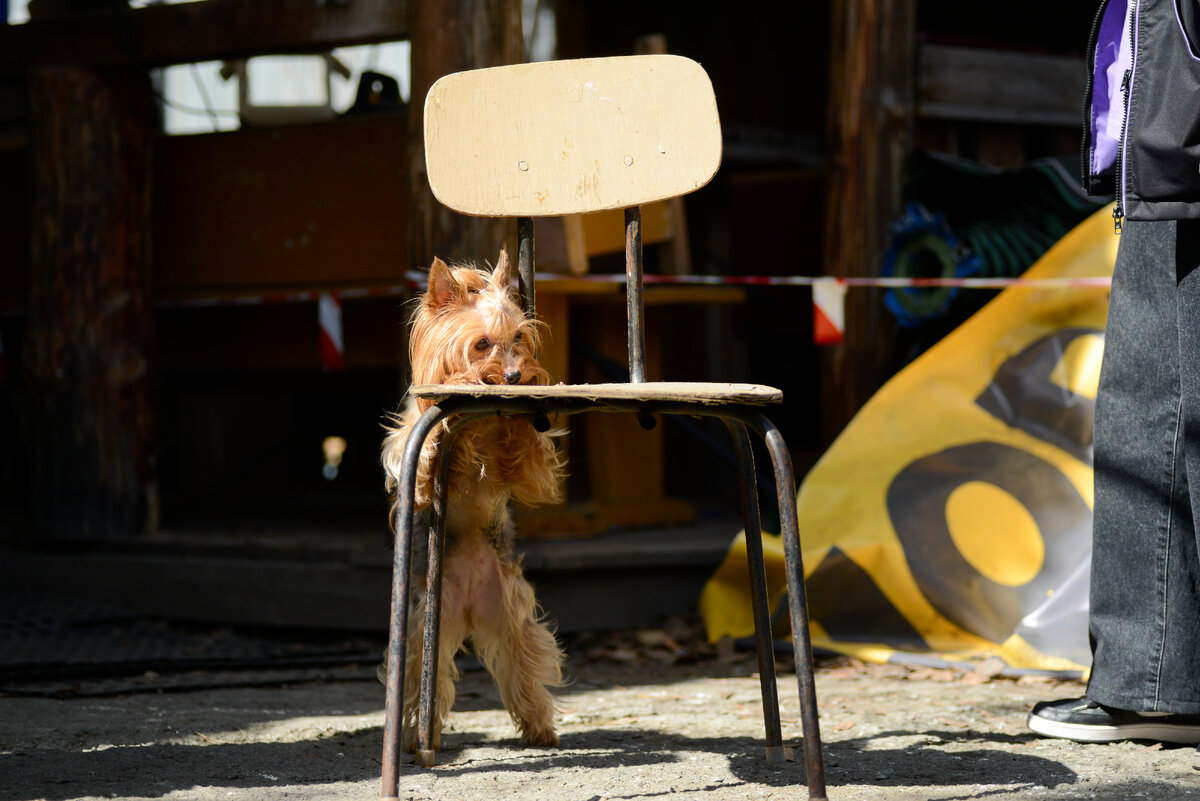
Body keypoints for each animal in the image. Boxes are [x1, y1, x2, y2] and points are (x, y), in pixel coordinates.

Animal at [384, 245, 566, 753]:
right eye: (482, 344)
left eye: (519, 338)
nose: (515, 375)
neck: (483, 420)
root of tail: (465, 608)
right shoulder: (408, 449)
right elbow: (421, 447)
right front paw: (448, 418)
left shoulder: (529, 473)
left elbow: (530, 463)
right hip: (423, 629)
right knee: (419, 680)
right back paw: (419, 738)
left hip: (512, 617)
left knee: (525, 667)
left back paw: (540, 728)